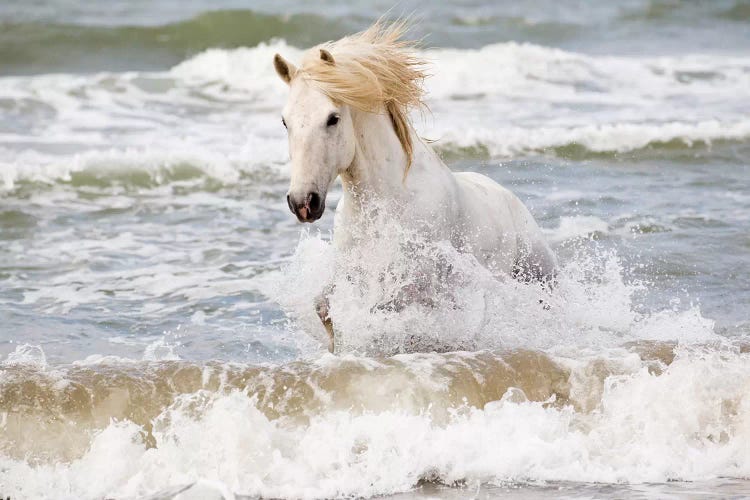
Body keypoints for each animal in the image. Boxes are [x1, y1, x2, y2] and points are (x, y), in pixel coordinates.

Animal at [276, 21, 560, 350]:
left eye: (332, 118)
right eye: (285, 122)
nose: (302, 202)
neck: (387, 202)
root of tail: (508, 197)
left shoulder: (415, 282)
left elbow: (385, 311)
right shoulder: (353, 268)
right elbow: (324, 307)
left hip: (539, 275)